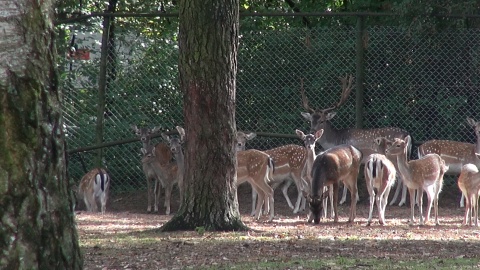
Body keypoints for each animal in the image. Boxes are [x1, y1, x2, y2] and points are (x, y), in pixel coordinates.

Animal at [298, 75, 410, 206]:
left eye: (322, 120)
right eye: (311, 120)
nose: (311, 132)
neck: (336, 139)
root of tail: (407, 134)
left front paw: (344, 199)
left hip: (394, 156)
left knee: (402, 176)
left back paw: (401, 201)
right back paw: (395, 200)